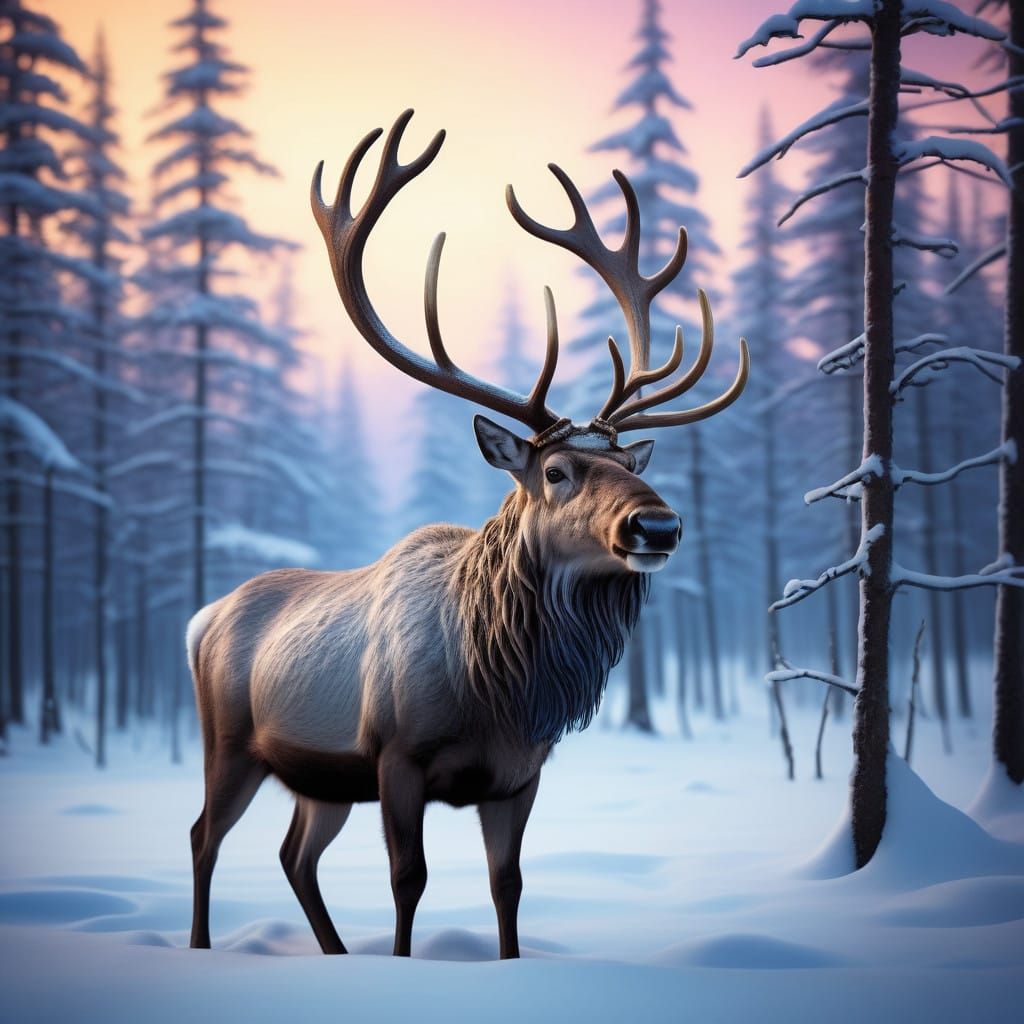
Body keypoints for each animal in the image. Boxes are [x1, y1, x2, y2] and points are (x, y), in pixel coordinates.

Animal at [187, 110, 748, 960]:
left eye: (627, 461)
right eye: (557, 471)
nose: (658, 523)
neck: (498, 686)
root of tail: (202, 619)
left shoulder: (520, 773)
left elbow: (507, 885)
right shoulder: (396, 757)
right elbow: (407, 882)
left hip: (320, 778)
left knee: (293, 854)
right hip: (230, 743)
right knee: (203, 837)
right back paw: (199, 945)